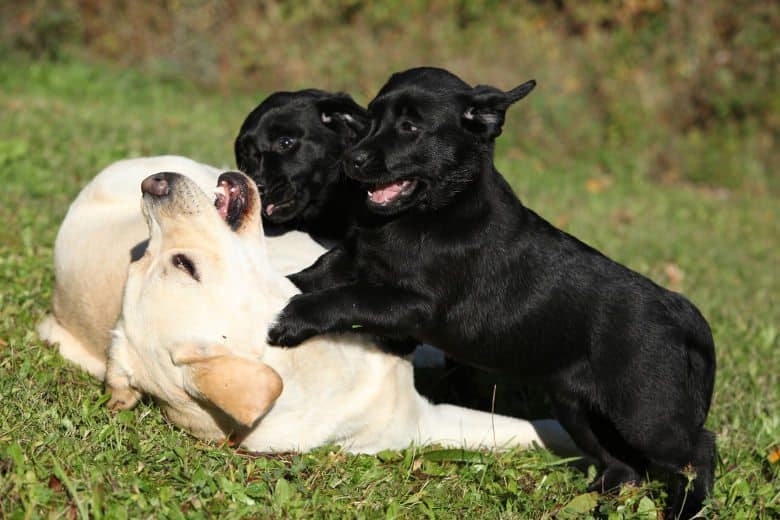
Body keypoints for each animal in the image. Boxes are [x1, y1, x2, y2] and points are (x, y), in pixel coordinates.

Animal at [270, 67, 720, 516]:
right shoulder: (352, 258)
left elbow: (349, 298)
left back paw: (687, 506)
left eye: (410, 126)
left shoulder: (415, 305)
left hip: (644, 411)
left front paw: (291, 319)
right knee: (626, 465)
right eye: (370, 120)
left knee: (699, 448)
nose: (352, 161)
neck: (432, 213)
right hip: (578, 409)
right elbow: (316, 274)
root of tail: (678, 307)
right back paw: (596, 499)